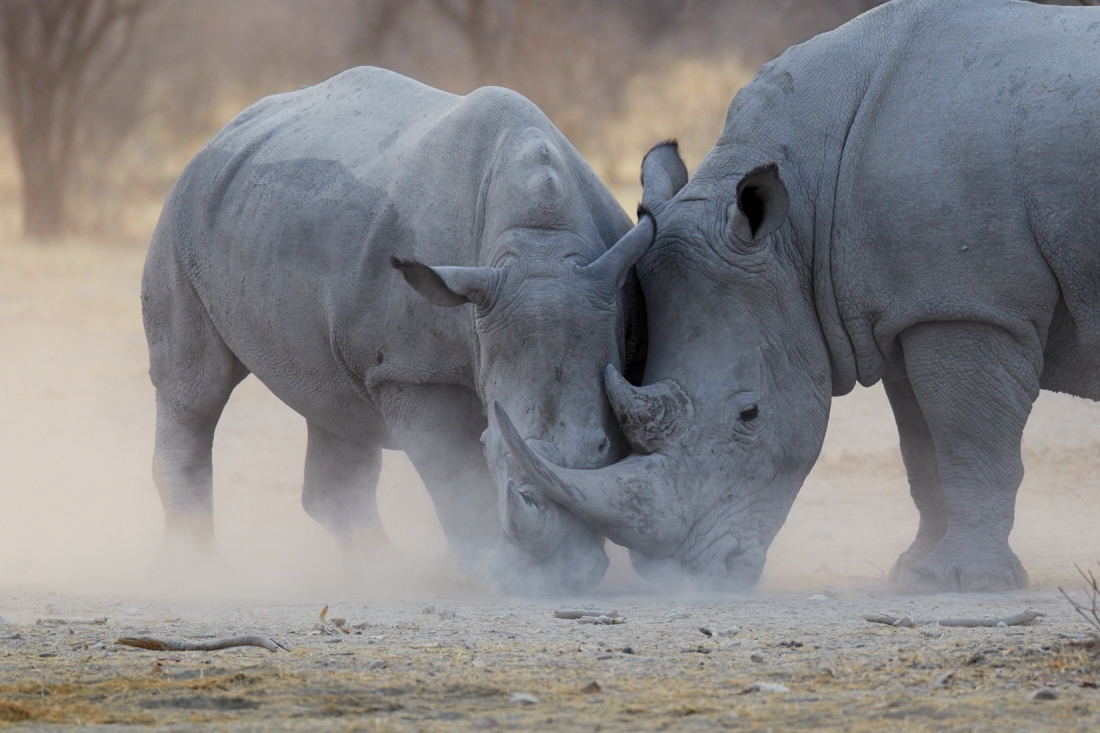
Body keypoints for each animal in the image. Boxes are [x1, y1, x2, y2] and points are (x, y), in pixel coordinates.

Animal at [141, 66, 652, 593]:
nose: (563, 578)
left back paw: (380, 569)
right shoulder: (413, 370)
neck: (540, 243)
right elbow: (454, 471)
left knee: (335, 405)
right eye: (490, 446)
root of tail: (222, 131)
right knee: (195, 389)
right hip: (182, 216)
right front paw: (490, 570)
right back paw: (202, 571)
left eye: (602, 446)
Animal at [498, 0, 1100, 593]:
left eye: (749, 414)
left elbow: (970, 443)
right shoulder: (914, 309)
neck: (806, 216)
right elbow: (924, 451)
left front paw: (965, 582)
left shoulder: (970, 307)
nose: (685, 576)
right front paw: (914, 573)